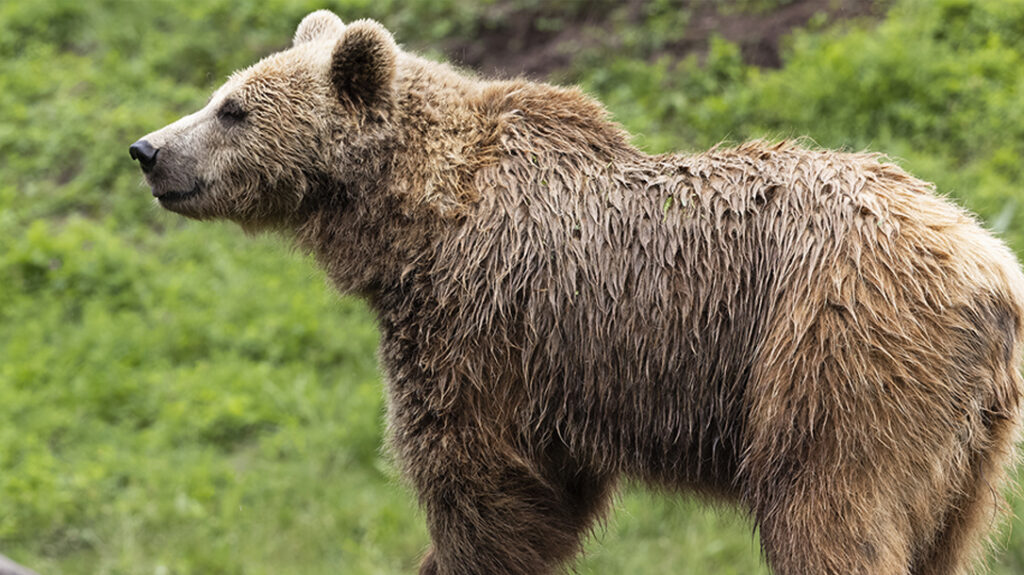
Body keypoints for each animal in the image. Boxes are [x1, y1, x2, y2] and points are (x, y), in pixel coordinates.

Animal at [129, 10, 1024, 575]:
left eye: (233, 108)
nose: (147, 149)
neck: (415, 223)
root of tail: (991, 269)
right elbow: (547, 496)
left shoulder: (477, 325)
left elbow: (484, 487)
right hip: (970, 443)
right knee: (943, 540)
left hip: (833, 351)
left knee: (826, 506)